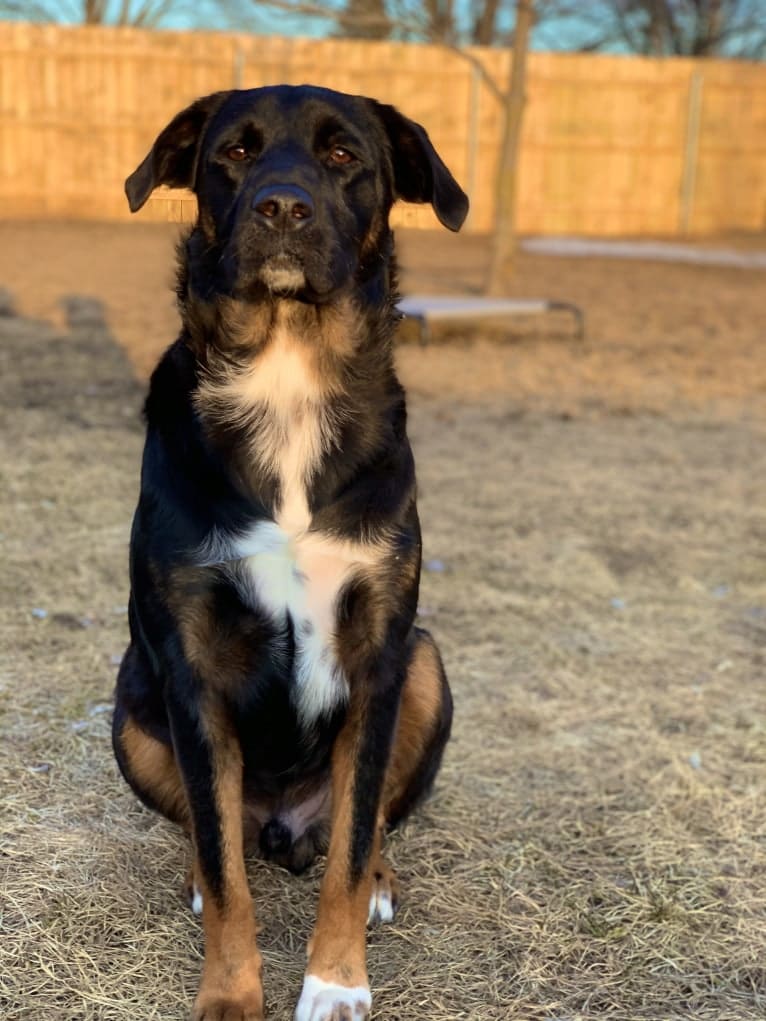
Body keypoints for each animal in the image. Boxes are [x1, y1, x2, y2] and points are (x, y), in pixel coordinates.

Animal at [112, 85, 467, 1021]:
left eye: (344, 156)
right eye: (234, 153)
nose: (281, 208)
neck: (286, 377)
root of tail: (282, 823)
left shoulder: (380, 652)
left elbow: (349, 845)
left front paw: (336, 981)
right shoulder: (190, 664)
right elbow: (225, 870)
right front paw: (231, 992)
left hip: (427, 665)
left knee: (361, 824)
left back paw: (377, 874)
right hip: (131, 704)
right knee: (217, 835)